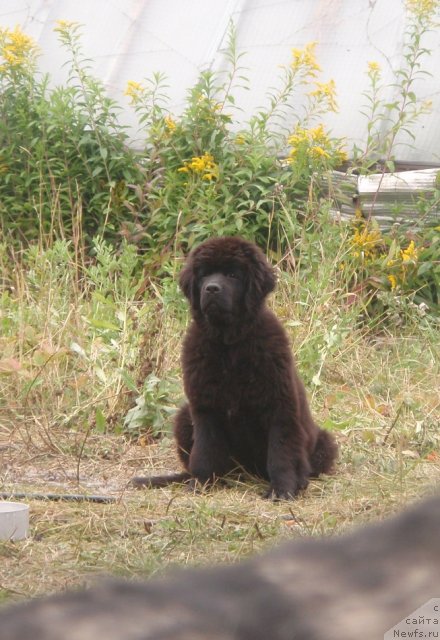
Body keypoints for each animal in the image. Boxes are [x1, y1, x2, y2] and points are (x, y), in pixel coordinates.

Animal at [133, 236, 336, 500]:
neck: (228, 344)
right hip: (184, 415)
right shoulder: (205, 408)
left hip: (324, 443)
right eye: (204, 275)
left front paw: (282, 489)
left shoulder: (280, 405)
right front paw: (202, 482)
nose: (211, 289)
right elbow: (205, 449)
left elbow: (281, 451)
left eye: (232, 275)